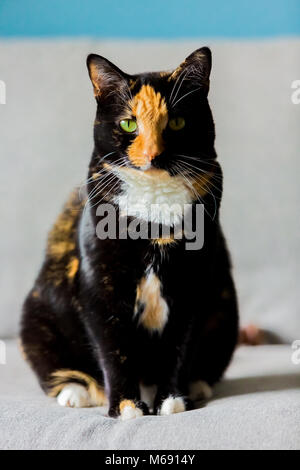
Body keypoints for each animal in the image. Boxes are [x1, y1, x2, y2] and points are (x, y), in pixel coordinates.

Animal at [19, 47, 239, 418]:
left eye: (177, 122)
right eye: (128, 123)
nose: (153, 153)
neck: (154, 215)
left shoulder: (194, 283)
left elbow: (180, 346)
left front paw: (173, 400)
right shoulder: (99, 284)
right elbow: (114, 348)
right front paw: (126, 406)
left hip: (225, 314)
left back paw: (196, 386)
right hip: (37, 317)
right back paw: (77, 392)